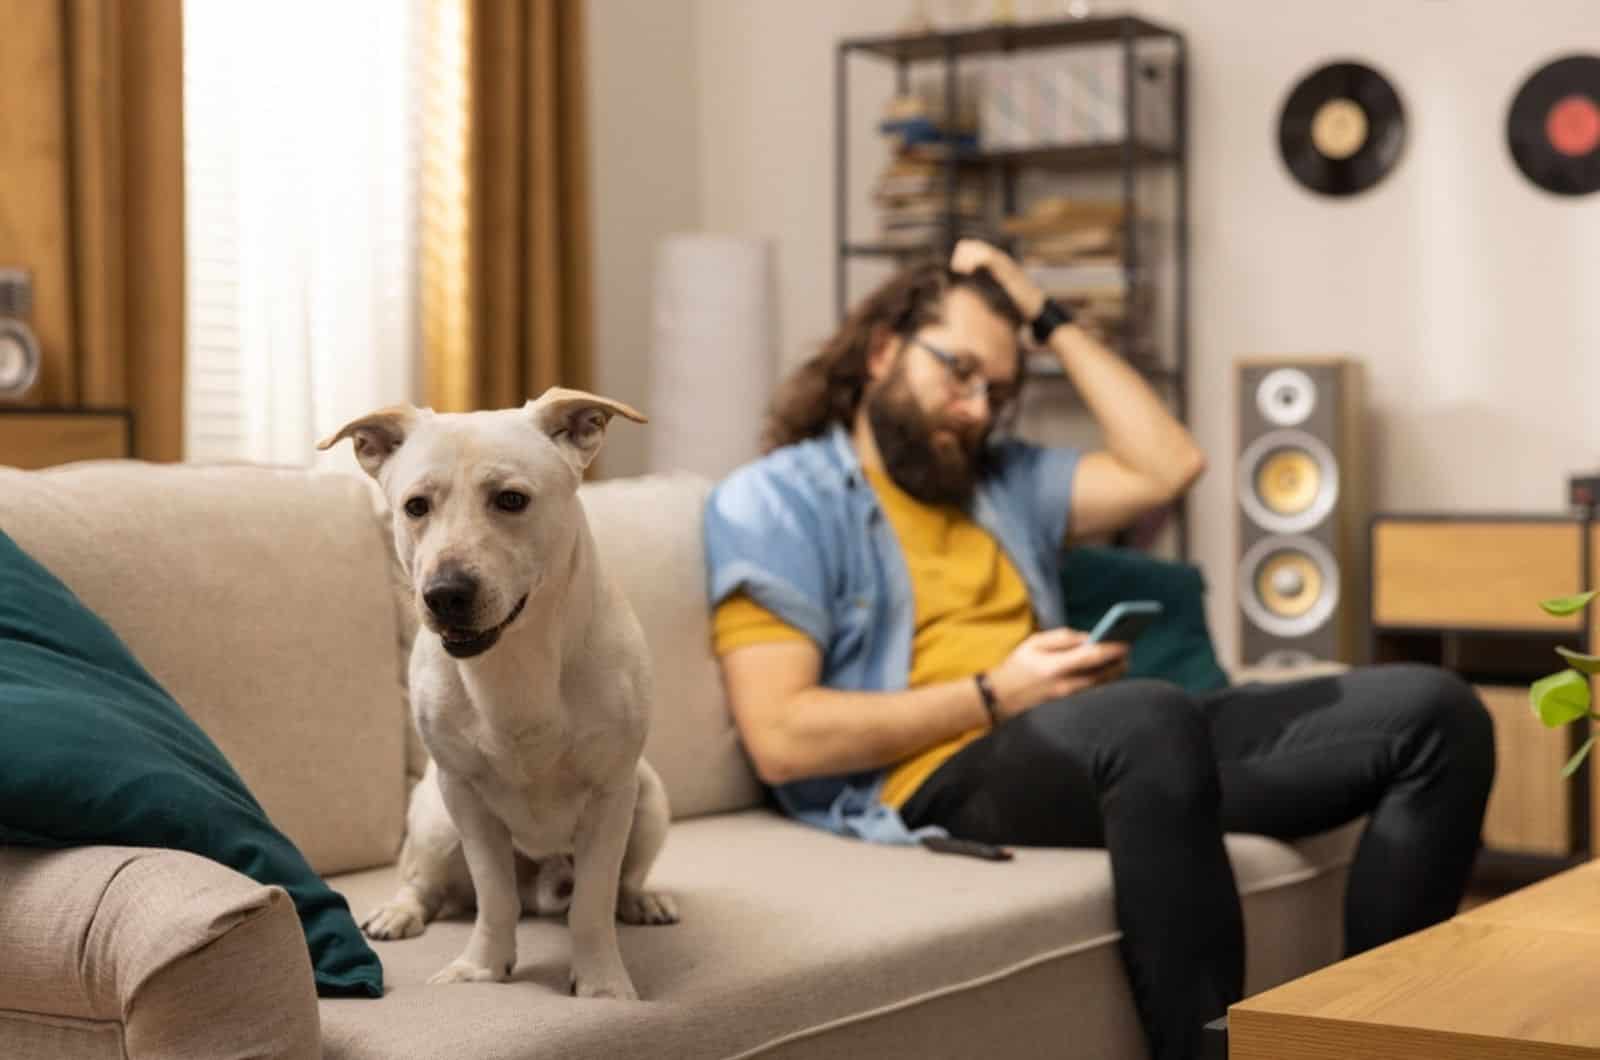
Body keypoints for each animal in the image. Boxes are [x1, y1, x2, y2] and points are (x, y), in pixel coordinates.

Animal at [321, 385, 678, 999]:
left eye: (511, 500)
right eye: (416, 506)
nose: (444, 594)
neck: (514, 660)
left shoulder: (612, 794)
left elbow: (593, 903)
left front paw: (602, 982)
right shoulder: (464, 794)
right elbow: (493, 895)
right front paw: (483, 968)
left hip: (650, 800)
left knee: (620, 882)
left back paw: (641, 900)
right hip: (434, 820)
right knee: (427, 884)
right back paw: (400, 911)